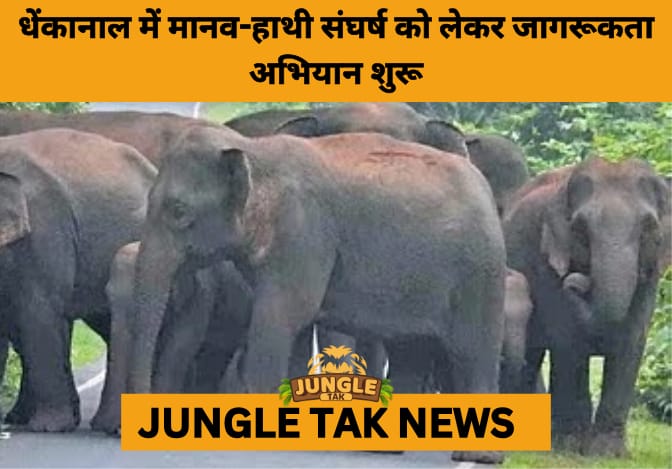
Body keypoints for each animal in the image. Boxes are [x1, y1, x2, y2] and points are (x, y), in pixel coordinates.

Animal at [129, 126, 507, 464]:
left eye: (179, 211)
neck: (254, 149)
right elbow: (293, 328)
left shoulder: (304, 234)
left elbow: (281, 316)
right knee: (410, 350)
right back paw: (383, 450)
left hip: (480, 272)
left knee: (473, 349)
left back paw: (478, 456)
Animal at [503, 156, 670, 456]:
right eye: (580, 229)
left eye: (648, 227)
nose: (575, 280)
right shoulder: (546, 262)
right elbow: (569, 341)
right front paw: (570, 447)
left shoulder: (651, 272)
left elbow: (631, 340)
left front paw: (610, 453)